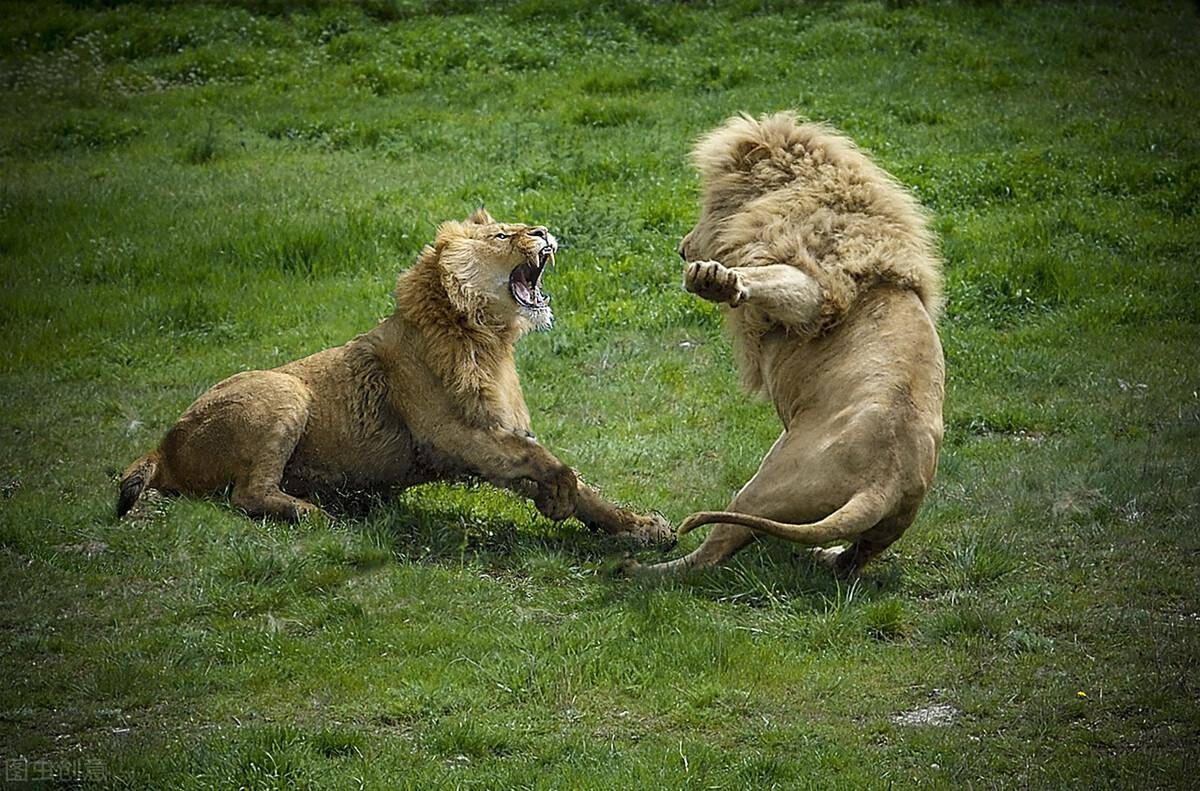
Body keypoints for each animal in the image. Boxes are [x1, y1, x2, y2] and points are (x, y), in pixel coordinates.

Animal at [119, 207, 676, 547]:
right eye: (501, 235)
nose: (542, 232)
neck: (485, 337)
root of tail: (162, 446)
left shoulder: (494, 430)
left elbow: (579, 485)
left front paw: (642, 527)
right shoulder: (445, 435)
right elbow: (548, 461)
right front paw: (559, 492)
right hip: (285, 390)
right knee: (247, 494)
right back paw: (320, 516)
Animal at [628, 112, 945, 576]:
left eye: (706, 207)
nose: (682, 249)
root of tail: (882, 481)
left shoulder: (817, 287)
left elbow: (772, 282)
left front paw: (715, 280)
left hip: (767, 485)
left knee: (713, 551)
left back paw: (641, 570)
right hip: (888, 524)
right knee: (854, 559)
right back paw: (825, 556)